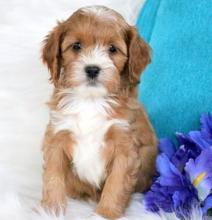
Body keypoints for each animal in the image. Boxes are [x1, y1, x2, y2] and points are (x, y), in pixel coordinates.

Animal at [41, 5, 157, 220]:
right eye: (76, 46)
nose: (92, 69)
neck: (91, 100)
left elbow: (116, 185)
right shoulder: (57, 136)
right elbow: (53, 177)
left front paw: (105, 214)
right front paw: (50, 210)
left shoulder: (125, 146)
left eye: (112, 49)